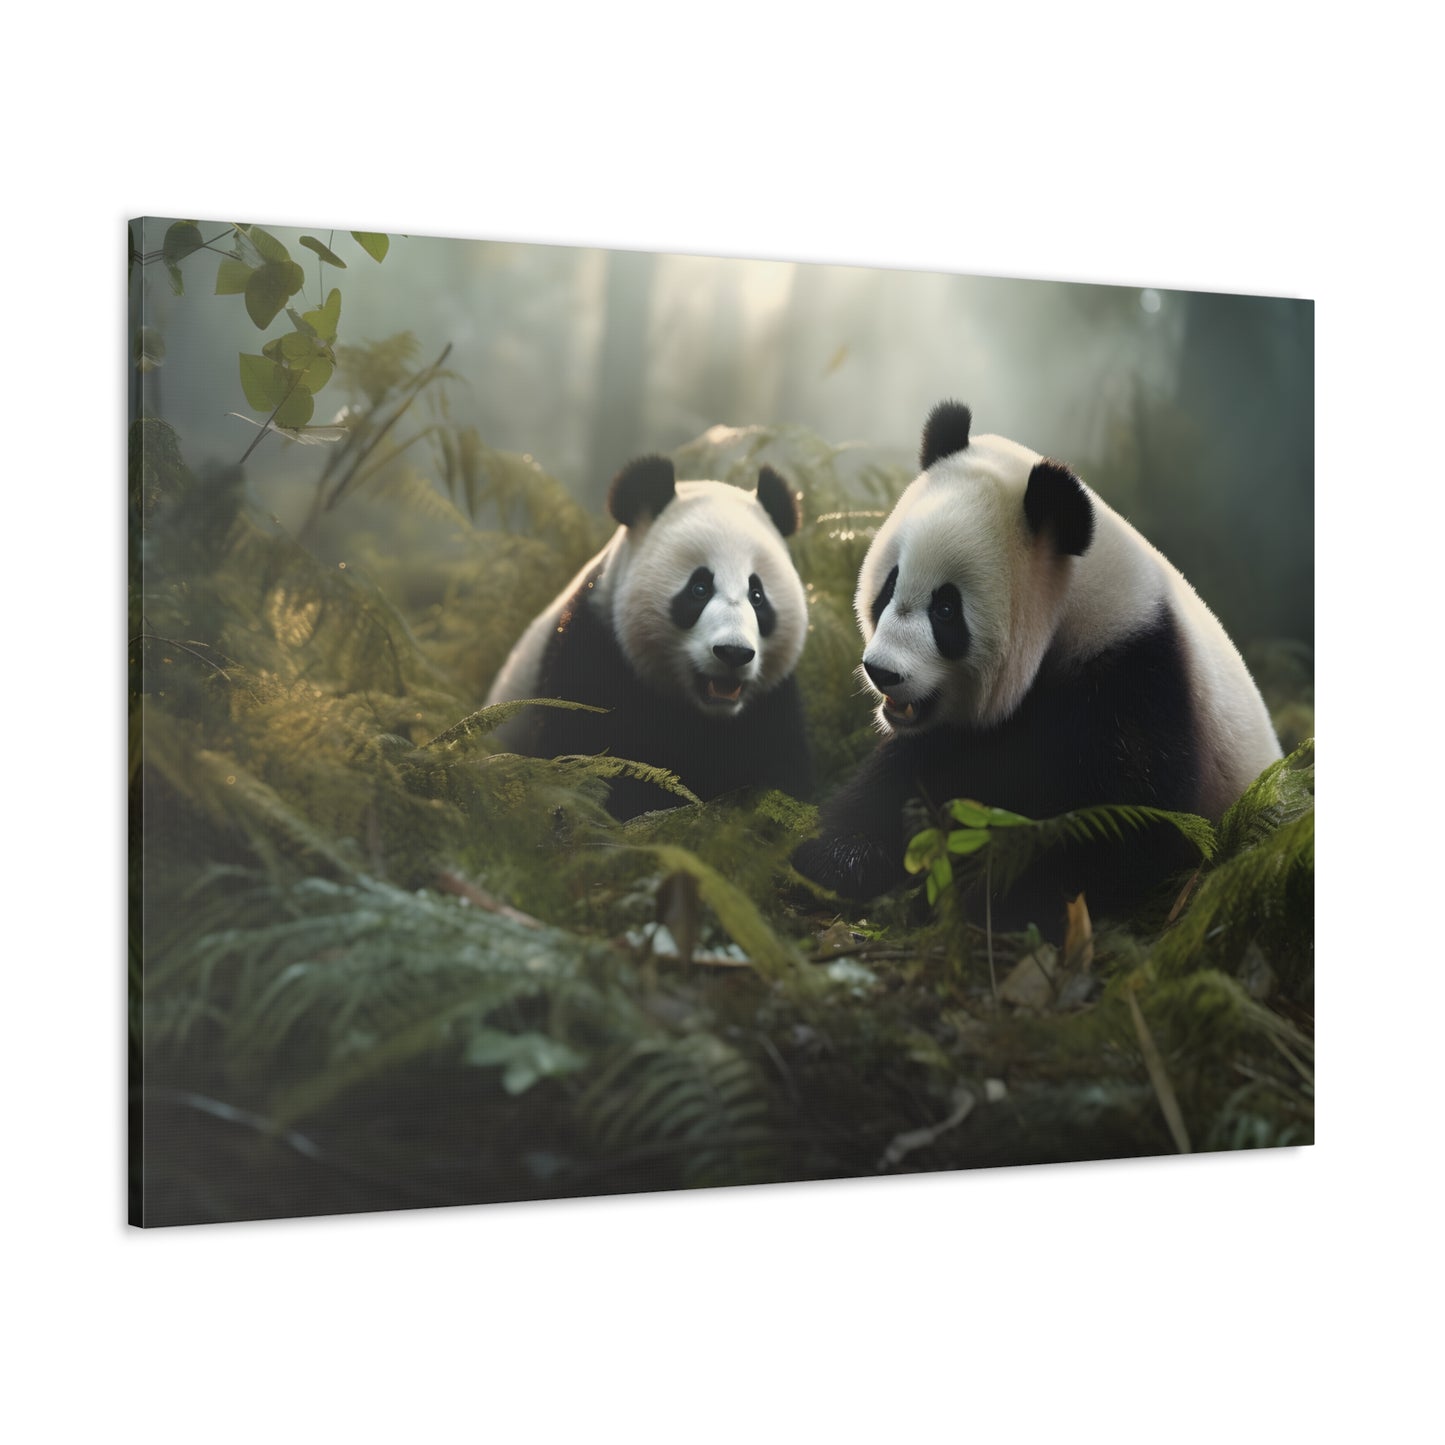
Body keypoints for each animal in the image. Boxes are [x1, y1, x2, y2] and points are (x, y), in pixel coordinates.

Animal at [486, 454, 813, 819]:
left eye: (757, 596)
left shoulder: (771, 705)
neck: (704, 715)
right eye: (699, 589)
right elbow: (586, 758)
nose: (733, 653)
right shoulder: (589, 654)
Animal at [792, 400, 1282, 929]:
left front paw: (986, 897)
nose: (882, 670)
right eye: (889, 585)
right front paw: (835, 862)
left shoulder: (1137, 681)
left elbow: (1119, 829)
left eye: (945, 609)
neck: (1078, 609)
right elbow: (904, 779)